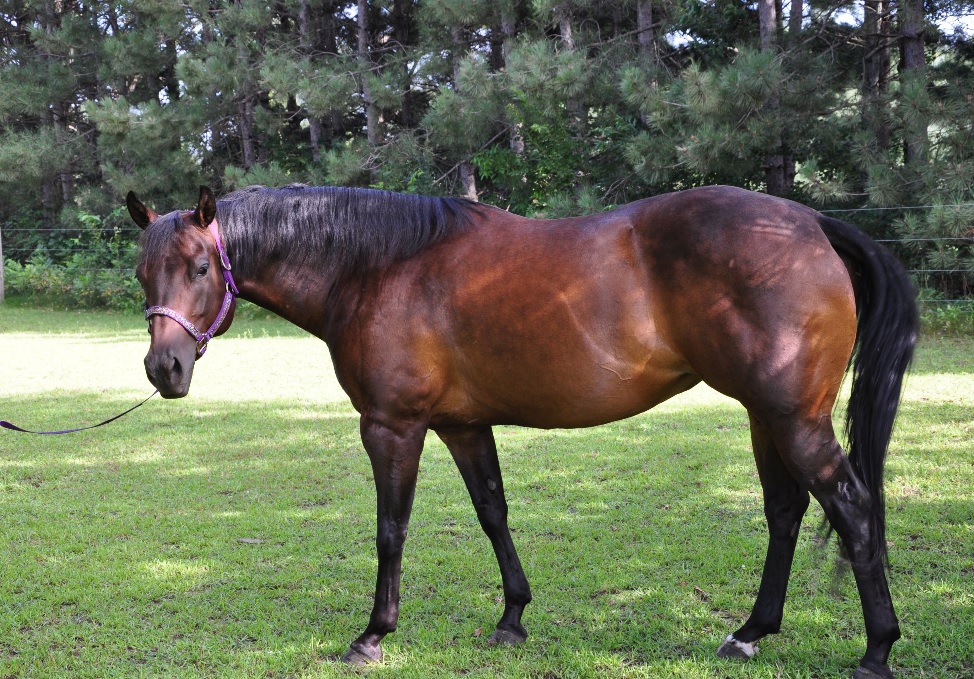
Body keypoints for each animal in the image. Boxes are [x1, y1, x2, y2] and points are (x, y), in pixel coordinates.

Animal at [127, 183, 917, 678]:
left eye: (199, 267)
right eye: (143, 273)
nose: (164, 367)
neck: (379, 266)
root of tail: (810, 223)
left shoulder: (392, 427)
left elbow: (391, 529)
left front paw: (374, 634)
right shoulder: (464, 425)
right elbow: (492, 512)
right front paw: (512, 617)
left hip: (793, 419)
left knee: (853, 507)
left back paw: (876, 650)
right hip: (767, 416)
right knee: (785, 511)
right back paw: (751, 633)